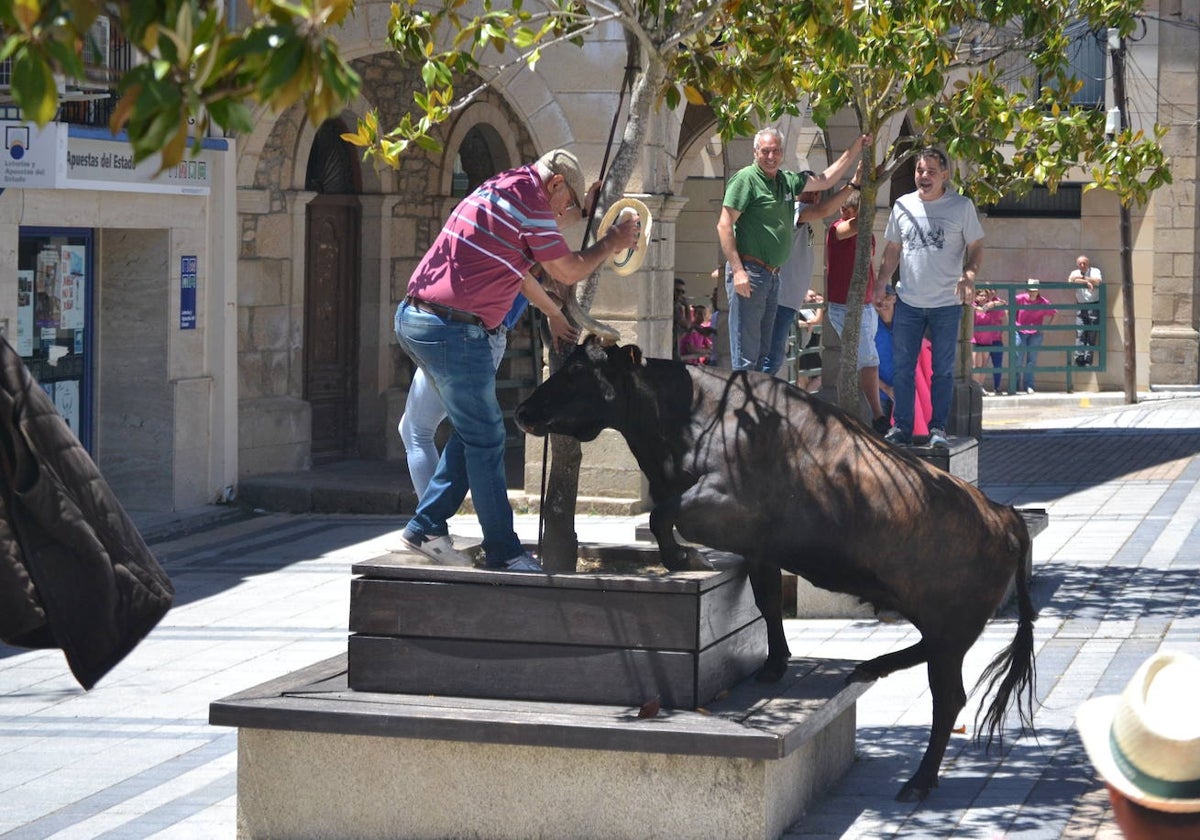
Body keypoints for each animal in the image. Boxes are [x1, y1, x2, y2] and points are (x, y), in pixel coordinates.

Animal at [513, 338, 1032, 801]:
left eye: (578, 372)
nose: (521, 412)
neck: (695, 417)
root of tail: (1003, 514)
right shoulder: (759, 547)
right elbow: (765, 600)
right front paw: (774, 661)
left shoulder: (721, 501)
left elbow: (663, 514)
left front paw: (682, 558)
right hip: (943, 625)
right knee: (925, 656)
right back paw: (872, 666)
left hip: (952, 628)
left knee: (949, 699)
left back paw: (919, 780)